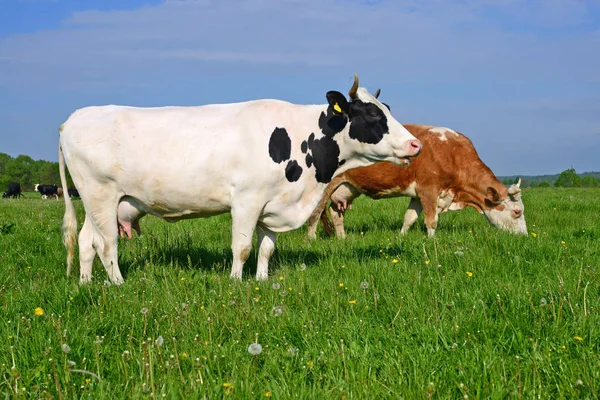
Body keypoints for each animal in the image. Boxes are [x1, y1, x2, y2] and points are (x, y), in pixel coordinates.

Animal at [57, 75, 422, 284]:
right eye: (372, 114)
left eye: (386, 109)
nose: (415, 144)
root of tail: (73, 118)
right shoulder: (247, 199)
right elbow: (243, 247)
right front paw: (235, 282)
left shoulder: (273, 204)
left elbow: (267, 249)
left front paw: (261, 280)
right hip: (101, 194)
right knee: (107, 244)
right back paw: (118, 284)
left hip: (98, 200)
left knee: (87, 241)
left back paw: (86, 284)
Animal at [308, 123, 528, 239]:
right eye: (517, 212)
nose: (525, 237)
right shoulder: (429, 189)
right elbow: (431, 220)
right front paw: (432, 241)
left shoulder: (417, 194)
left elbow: (410, 218)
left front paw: (401, 237)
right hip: (324, 188)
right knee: (315, 214)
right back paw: (311, 239)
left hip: (347, 186)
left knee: (335, 213)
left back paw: (342, 238)